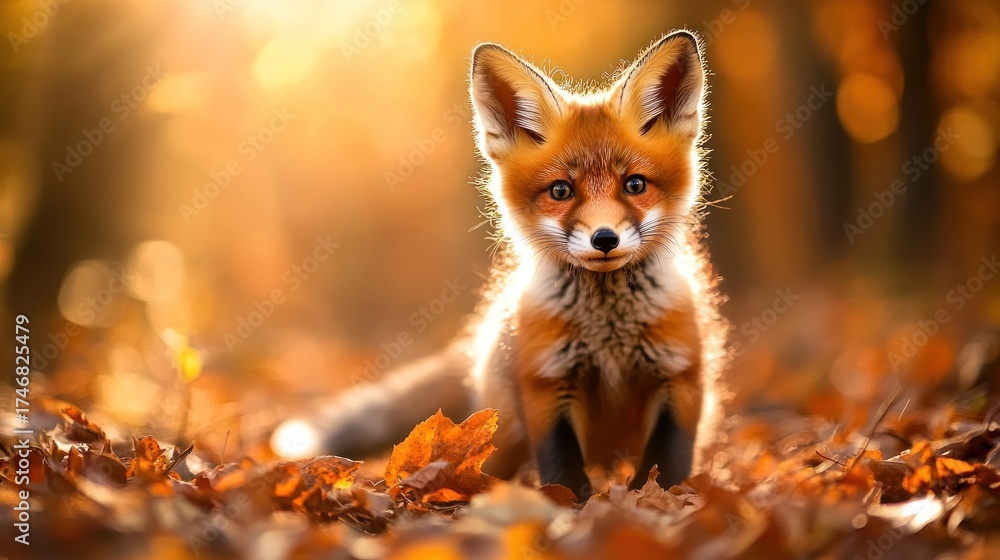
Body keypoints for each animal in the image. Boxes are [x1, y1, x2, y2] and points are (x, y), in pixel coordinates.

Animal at [318, 31, 728, 499]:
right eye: (561, 190)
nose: (605, 239)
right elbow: (560, 465)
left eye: (635, 185)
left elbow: (669, 460)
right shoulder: (546, 382)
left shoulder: (680, 376)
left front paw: (664, 498)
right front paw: (571, 505)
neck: (608, 334)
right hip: (505, 430)